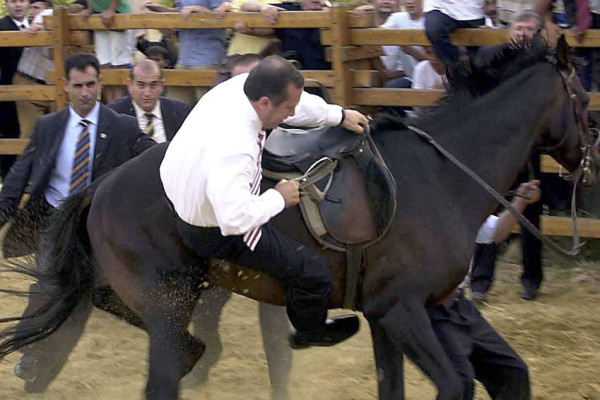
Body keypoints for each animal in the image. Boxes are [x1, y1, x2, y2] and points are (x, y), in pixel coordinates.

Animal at [0, 36, 596, 398]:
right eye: (583, 101)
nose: (590, 159)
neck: (441, 174)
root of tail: (99, 188)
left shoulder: (385, 318)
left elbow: (394, 386)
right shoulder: (402, 309)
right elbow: (454, 384)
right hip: (169, 304)